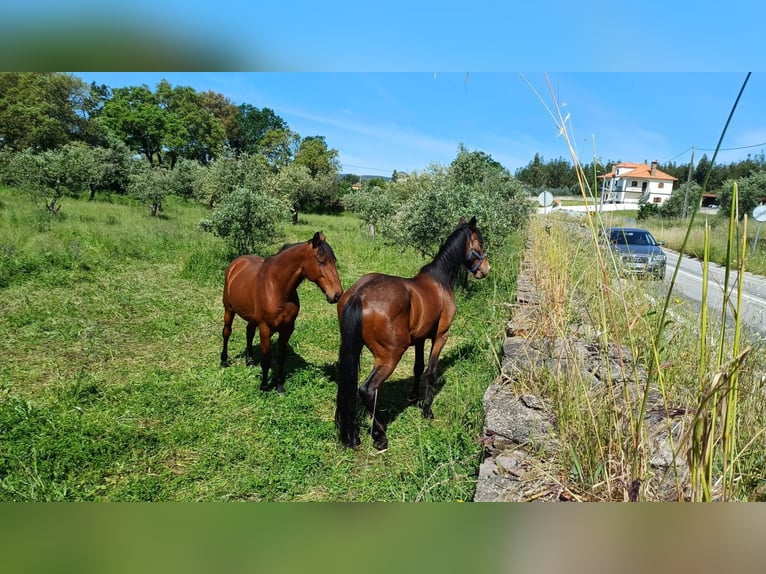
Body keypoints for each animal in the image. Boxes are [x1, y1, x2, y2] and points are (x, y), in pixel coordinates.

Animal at [220, 233, 344, 396]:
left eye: (334, 261)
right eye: (321, 261)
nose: (337, 295)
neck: (277, 287)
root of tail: (236, 263)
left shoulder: (287, 328)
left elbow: (281, 357)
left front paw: (279, 386)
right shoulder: (265, 328)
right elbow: (266, 360)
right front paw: (264, 387)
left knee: (249, 332)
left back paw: (250, 360)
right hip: (229, 309)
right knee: (227, 332)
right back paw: (223, 361)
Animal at [336, 218, 492, 452]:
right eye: (479, 241)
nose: (485, 269)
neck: (439, 280)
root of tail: (360, 295)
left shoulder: (419, 339)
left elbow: (418, 367)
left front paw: (412, 396)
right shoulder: (441, 336)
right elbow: (430, 371)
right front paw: (426, 409)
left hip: (354, 350)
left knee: (351, 386)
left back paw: (353, 435)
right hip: (390, 357)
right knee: (367, 390)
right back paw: (380, 435)